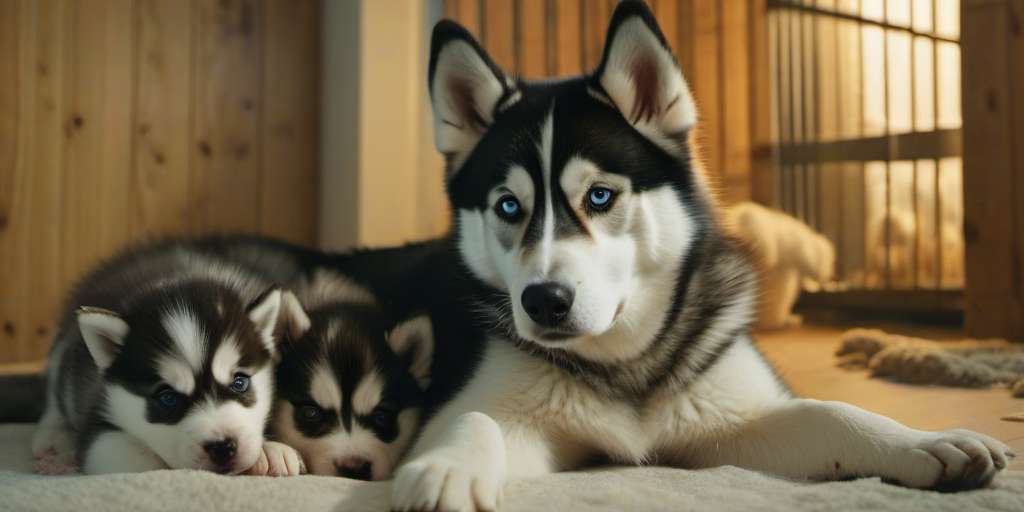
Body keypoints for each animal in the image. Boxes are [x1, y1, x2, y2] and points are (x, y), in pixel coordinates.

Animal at [387, 2, 1011, 509]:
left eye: (600, 196)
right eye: (509, 206)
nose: (544, 302)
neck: (625, 367)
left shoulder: (727, 417)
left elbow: (829, 410)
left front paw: (922, 441)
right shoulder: (518, 417)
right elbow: (474, 417)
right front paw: (445, 470)